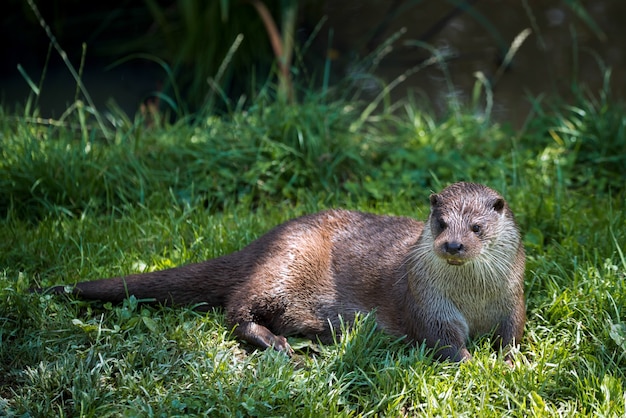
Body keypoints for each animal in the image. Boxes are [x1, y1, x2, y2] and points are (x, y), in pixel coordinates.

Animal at [45, 181, 520, 360]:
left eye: (476, 227)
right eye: (440, 223)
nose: (454, 244)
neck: (473, 299)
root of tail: (266, 239)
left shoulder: (512, 298)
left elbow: (513, 331)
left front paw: (511, 359)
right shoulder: (428, 303)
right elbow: (442, 341)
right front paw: (473, 362)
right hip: (284, 266)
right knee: (236, 311)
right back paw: (277, 344)